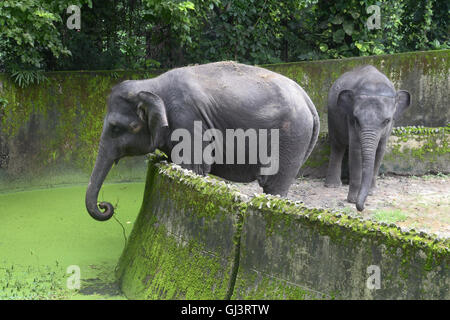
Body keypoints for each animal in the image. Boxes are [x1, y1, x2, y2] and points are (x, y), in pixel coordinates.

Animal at [85, 61, 320, 221]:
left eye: (115, 128)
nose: (105, 205)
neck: (151, 85)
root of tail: (308, 100)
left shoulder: (187, 121)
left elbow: (193, 168)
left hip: (291, 137)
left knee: (274, 184)